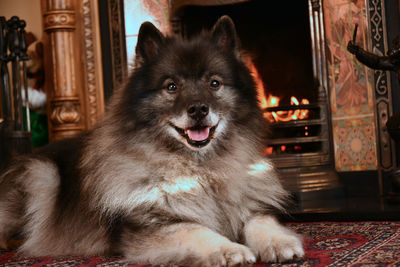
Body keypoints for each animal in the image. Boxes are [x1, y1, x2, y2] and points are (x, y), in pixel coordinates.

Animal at [0, 16, 304, 266]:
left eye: (214, 83)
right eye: (171, 86)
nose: (198, 109)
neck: (200, 169)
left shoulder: (248, 206)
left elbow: (260, 222)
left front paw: (280, 242)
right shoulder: (152, 225)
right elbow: (196, 229)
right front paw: (230, 249)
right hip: (42, 174)